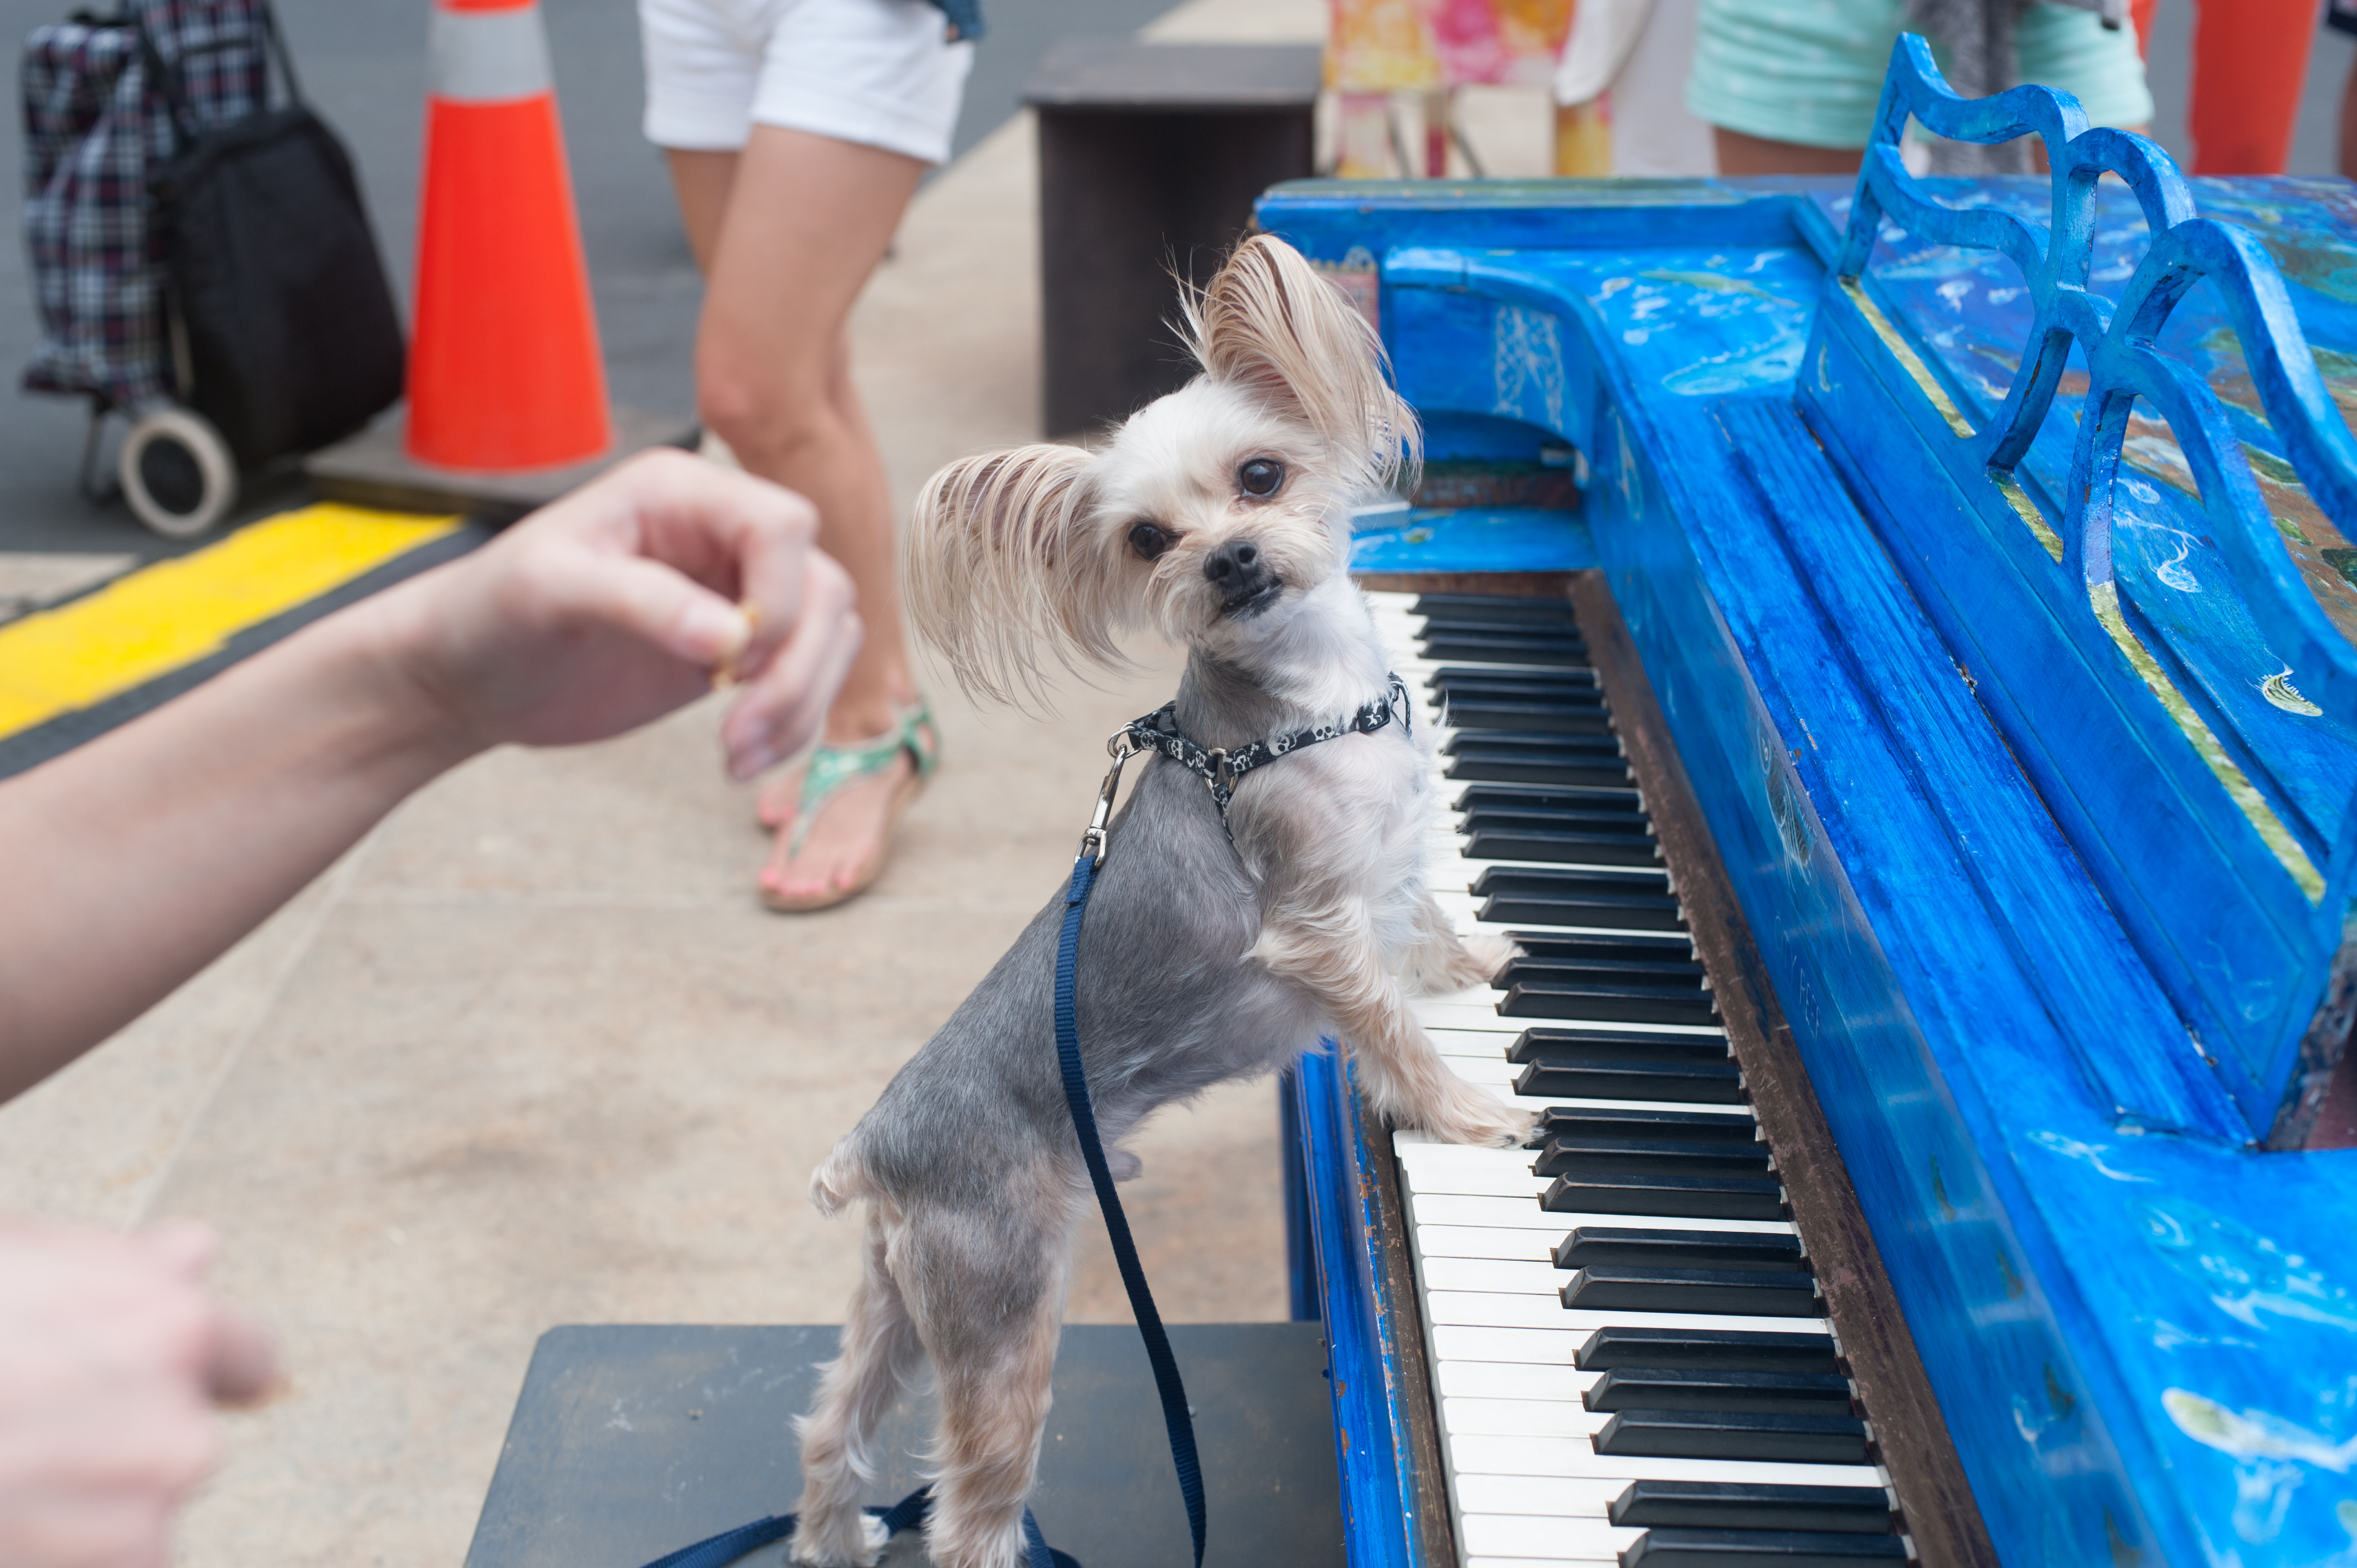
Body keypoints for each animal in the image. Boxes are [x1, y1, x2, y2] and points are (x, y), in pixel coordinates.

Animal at [787, 232, 1527, 1565]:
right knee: (968, 1517)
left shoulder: (1393, 868)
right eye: (1144, 541)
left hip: (902, 1303)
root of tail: (872, 1148)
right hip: (1000, 1313)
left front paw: (1476, 961)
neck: (1308, 706)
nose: (1226, 557)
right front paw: (1467, 1111)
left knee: (829, 1434)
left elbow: (1428, 927)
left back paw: (832, 1540)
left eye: (1261, 475)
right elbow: (1391, 1031)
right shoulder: (1318, 931)